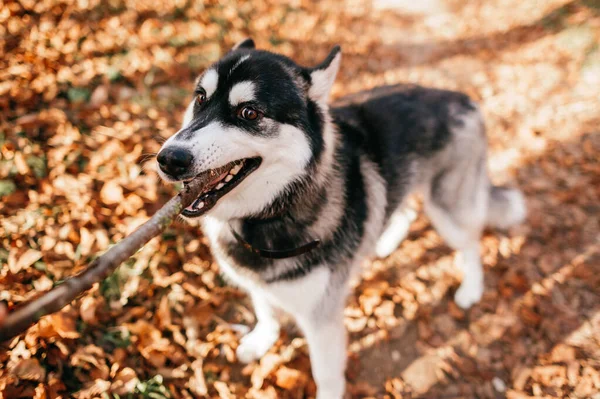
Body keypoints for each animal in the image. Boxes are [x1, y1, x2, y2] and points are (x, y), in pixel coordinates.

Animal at [156, 39, 524, 398]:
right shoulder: (257, 284)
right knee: (403, 208)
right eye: (200, 98)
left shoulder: (322, 320)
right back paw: (384, 242)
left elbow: (327, 375)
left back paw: (471, 288)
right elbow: (265, 310)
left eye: (249, 112)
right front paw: (262, 340)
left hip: (447, 208)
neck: (270, 212)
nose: (169, 159)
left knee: (470, 242)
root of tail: (461, 97)